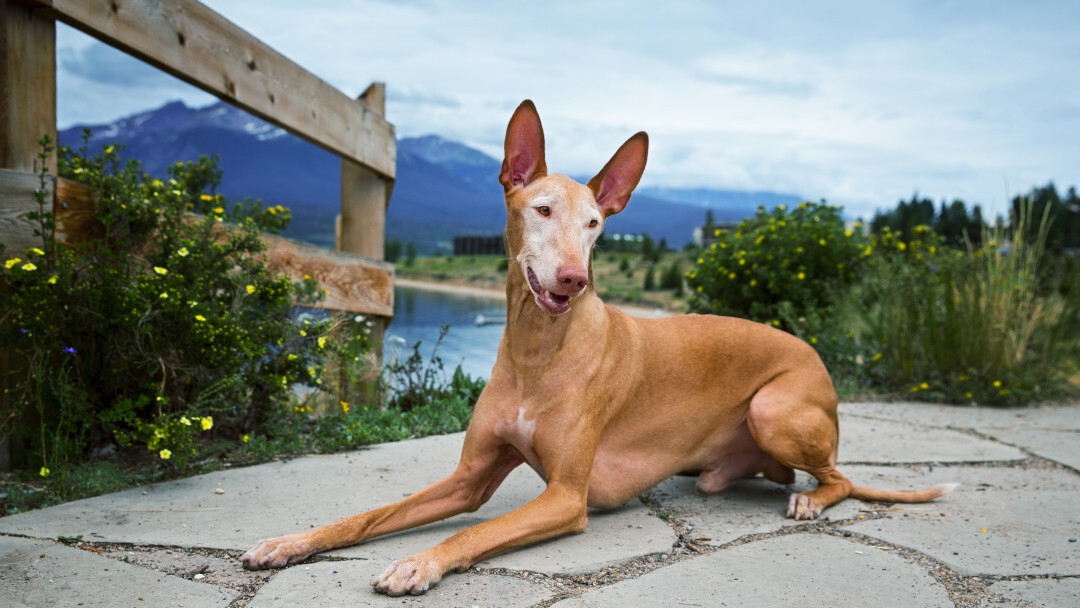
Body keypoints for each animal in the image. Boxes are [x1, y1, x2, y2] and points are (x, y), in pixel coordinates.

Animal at [240, 99, 959, 596]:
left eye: (595, 224)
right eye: (541, 210)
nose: (572, 279)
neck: (538, 352)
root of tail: (814, 357)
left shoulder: (567, 497)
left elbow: (477, 529)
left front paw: (419, 562)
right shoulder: (469, 477)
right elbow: (366, 516)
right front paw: (291, 543)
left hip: (774, 410)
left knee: (840, 478)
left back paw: (811, 498)